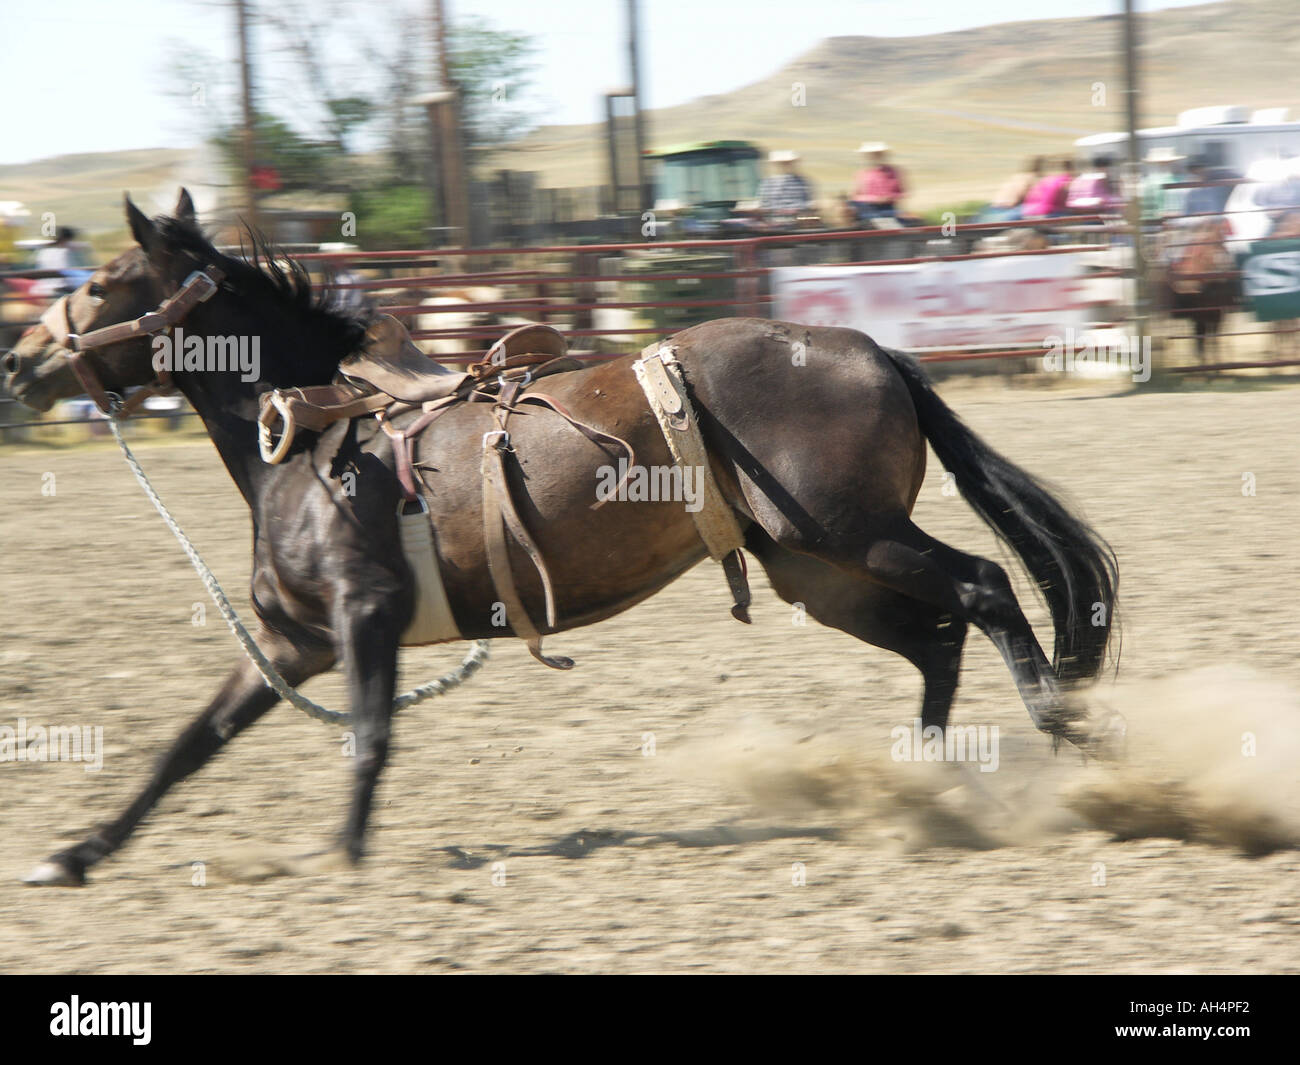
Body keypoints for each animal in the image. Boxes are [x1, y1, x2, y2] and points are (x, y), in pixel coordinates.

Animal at [2, 191, 1118, 884]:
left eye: (99, 282)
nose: (19, 359)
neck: (313, 433)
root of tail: (873, 349)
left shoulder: (365, 616)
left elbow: (368, 738)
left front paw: (345, 854)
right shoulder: (293, 639)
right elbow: (188, 745)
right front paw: (78, 853)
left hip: (857, 535)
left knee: (983, 587)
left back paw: (1060, 729)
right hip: (814, 569)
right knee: (938, 636)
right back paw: (927, 783)